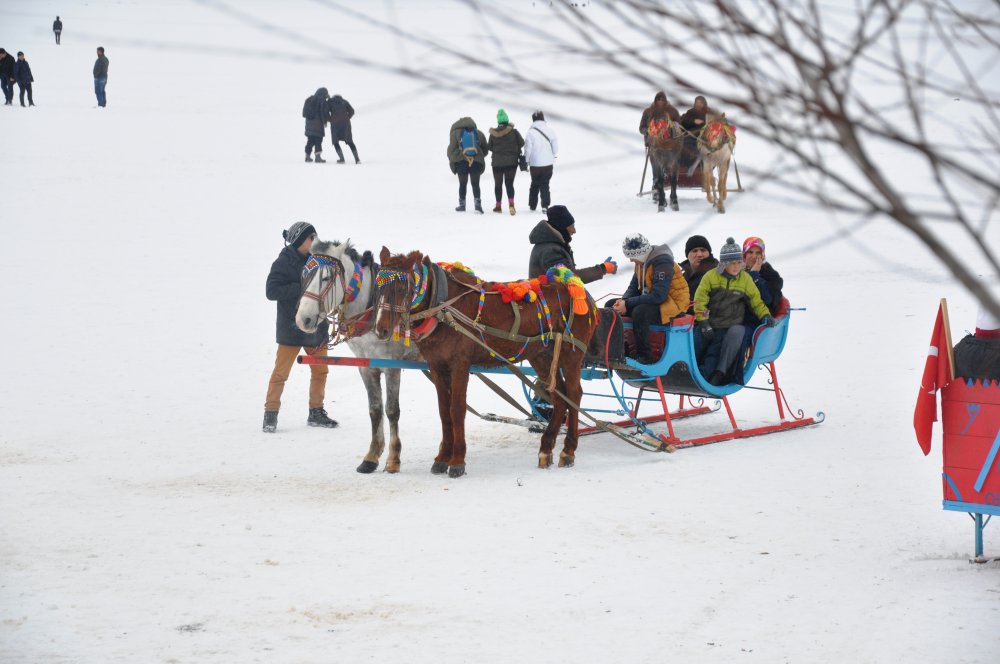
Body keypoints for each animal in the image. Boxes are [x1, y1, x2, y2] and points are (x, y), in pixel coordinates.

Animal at [296, 239, 422, 472]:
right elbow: (375, 409)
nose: (303, 320)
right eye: (304, 274)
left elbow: (392, 410)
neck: (371, 309)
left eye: (326, 277)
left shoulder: (391, 365)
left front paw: (393, 459)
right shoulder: (365, 365)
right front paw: (371, 456)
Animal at [374, 249, 592, 478]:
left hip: (572, 354)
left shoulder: (459, 363)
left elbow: (457, 409)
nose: (381, 329)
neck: (442, 306)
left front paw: (457, 460)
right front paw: (442, 458)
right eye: (378, 285)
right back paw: (546, 448)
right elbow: (444, 410)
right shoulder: (437, 365)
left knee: (574, 395)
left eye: (401, 288)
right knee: (559, 397)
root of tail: (581, 292)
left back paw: (568, 450)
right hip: (541, 356)